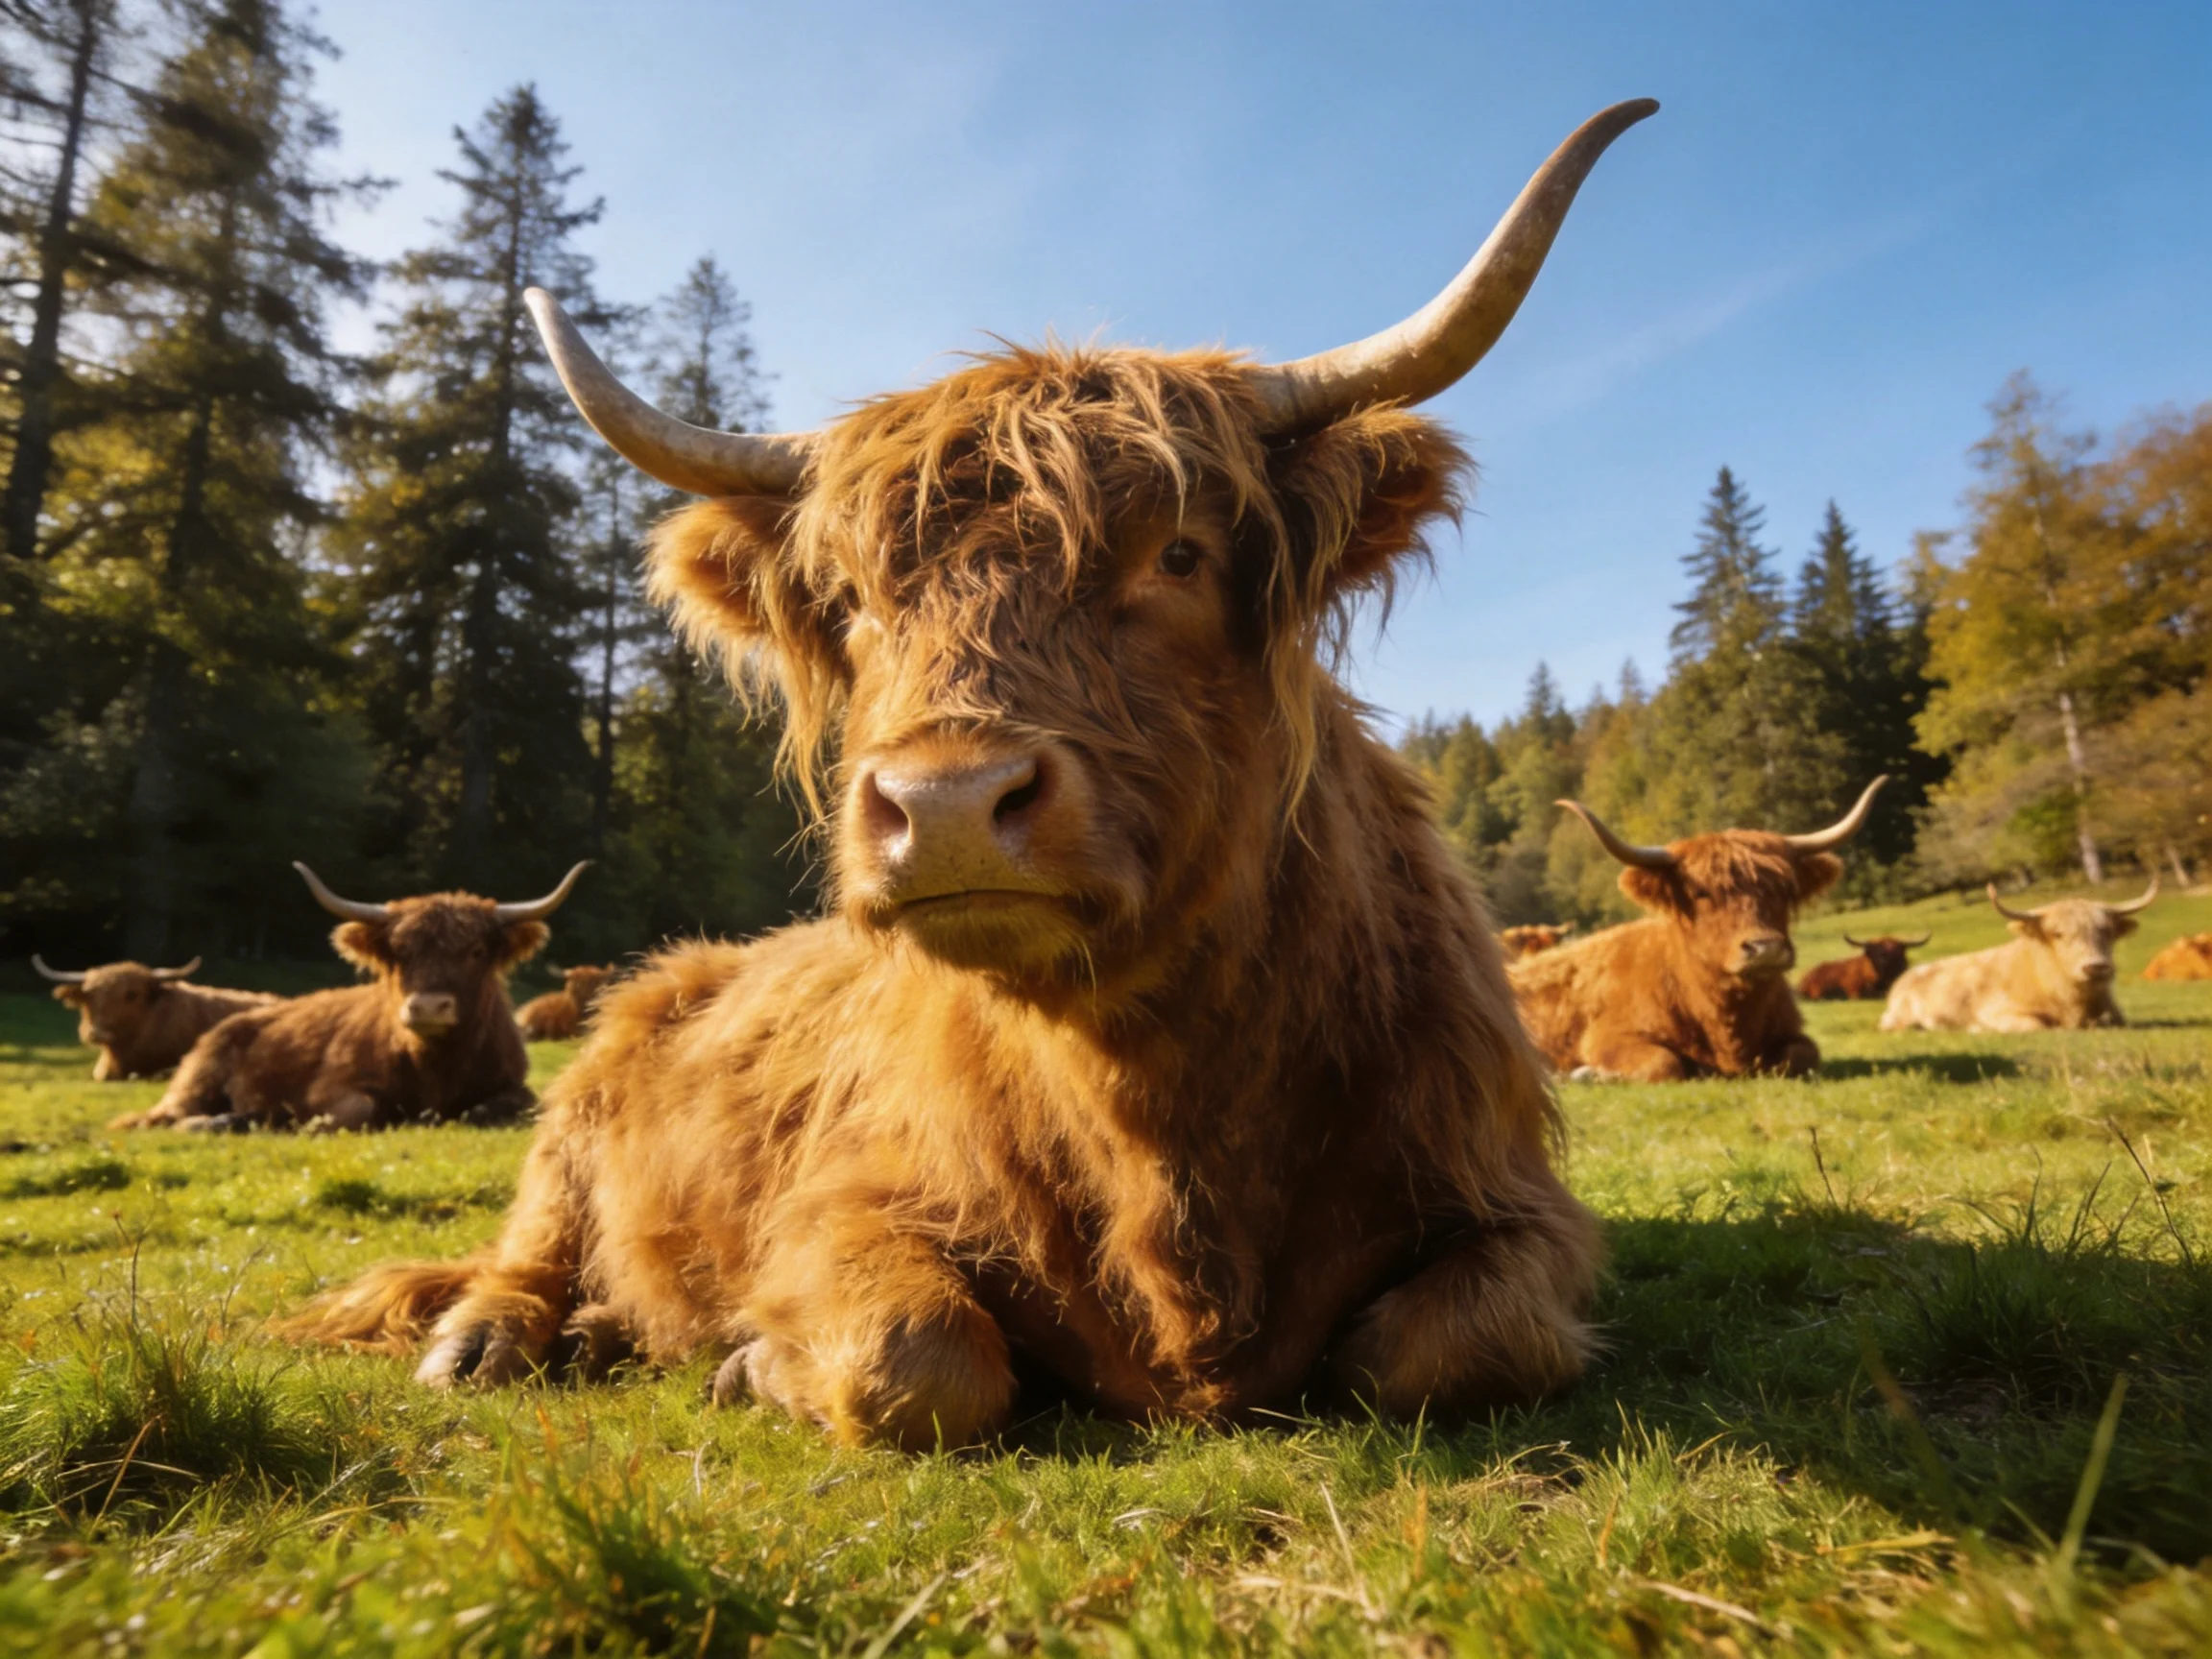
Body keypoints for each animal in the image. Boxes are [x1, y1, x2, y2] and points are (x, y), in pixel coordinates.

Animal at [110, 862, 587, 1133]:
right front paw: (301, 1123)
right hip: (193, 1083)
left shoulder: (514, 1084)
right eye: (399, 951)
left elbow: (501, 1108)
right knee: (153, 1119)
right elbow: (358, 1109)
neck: (435, 1065)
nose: (428, 1006)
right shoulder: (333, 1086)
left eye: (475, 951)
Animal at [281, 101, 1661, 1450]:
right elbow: (918, 1358)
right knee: (525, 1250)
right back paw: (494, 1339)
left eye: (1179, 554)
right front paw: (755, 1363)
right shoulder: (841, 1204)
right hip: (568, 1130)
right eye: (848, 601)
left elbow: (1453, 1345)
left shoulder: (1511, 1194)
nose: (943, 807)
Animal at [1509, 779, 1888, 1081]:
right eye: (1701, 892)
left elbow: (1803, 1054)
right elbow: (1664, 1064)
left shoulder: (1790, 1031)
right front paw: (1588, 1074)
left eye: (1784, 889)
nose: (1765, 948)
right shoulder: (1607, 1036)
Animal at [1879, 881, 2159, 1033]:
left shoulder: (2113, 1015)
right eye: (2057, 933)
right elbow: (2035, 1025)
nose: (2096, 966)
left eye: (2107, 930)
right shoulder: (1997, 1012)